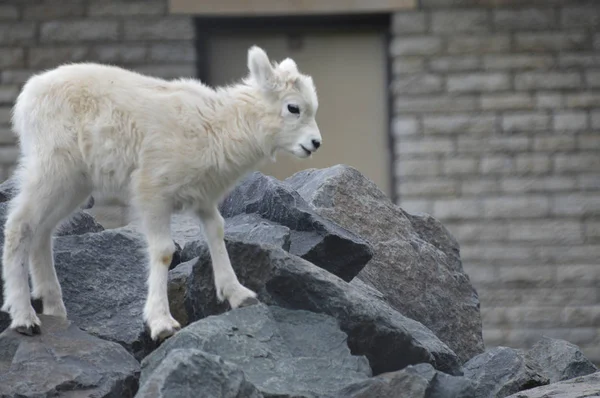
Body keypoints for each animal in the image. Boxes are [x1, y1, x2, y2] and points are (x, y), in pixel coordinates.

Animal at [1, 45, 324, 338]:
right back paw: (25, 318)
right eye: (293, 108)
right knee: (20, 226)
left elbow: (217, 234)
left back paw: (55, 310)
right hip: (53, 171)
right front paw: (161, 324)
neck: (217, 128)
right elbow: (164, 253)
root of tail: (27, 97)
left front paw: (239, 295)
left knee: (42, 232)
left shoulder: (203, 200)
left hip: (74, 185)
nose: (315, 144)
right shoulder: (153, 195)